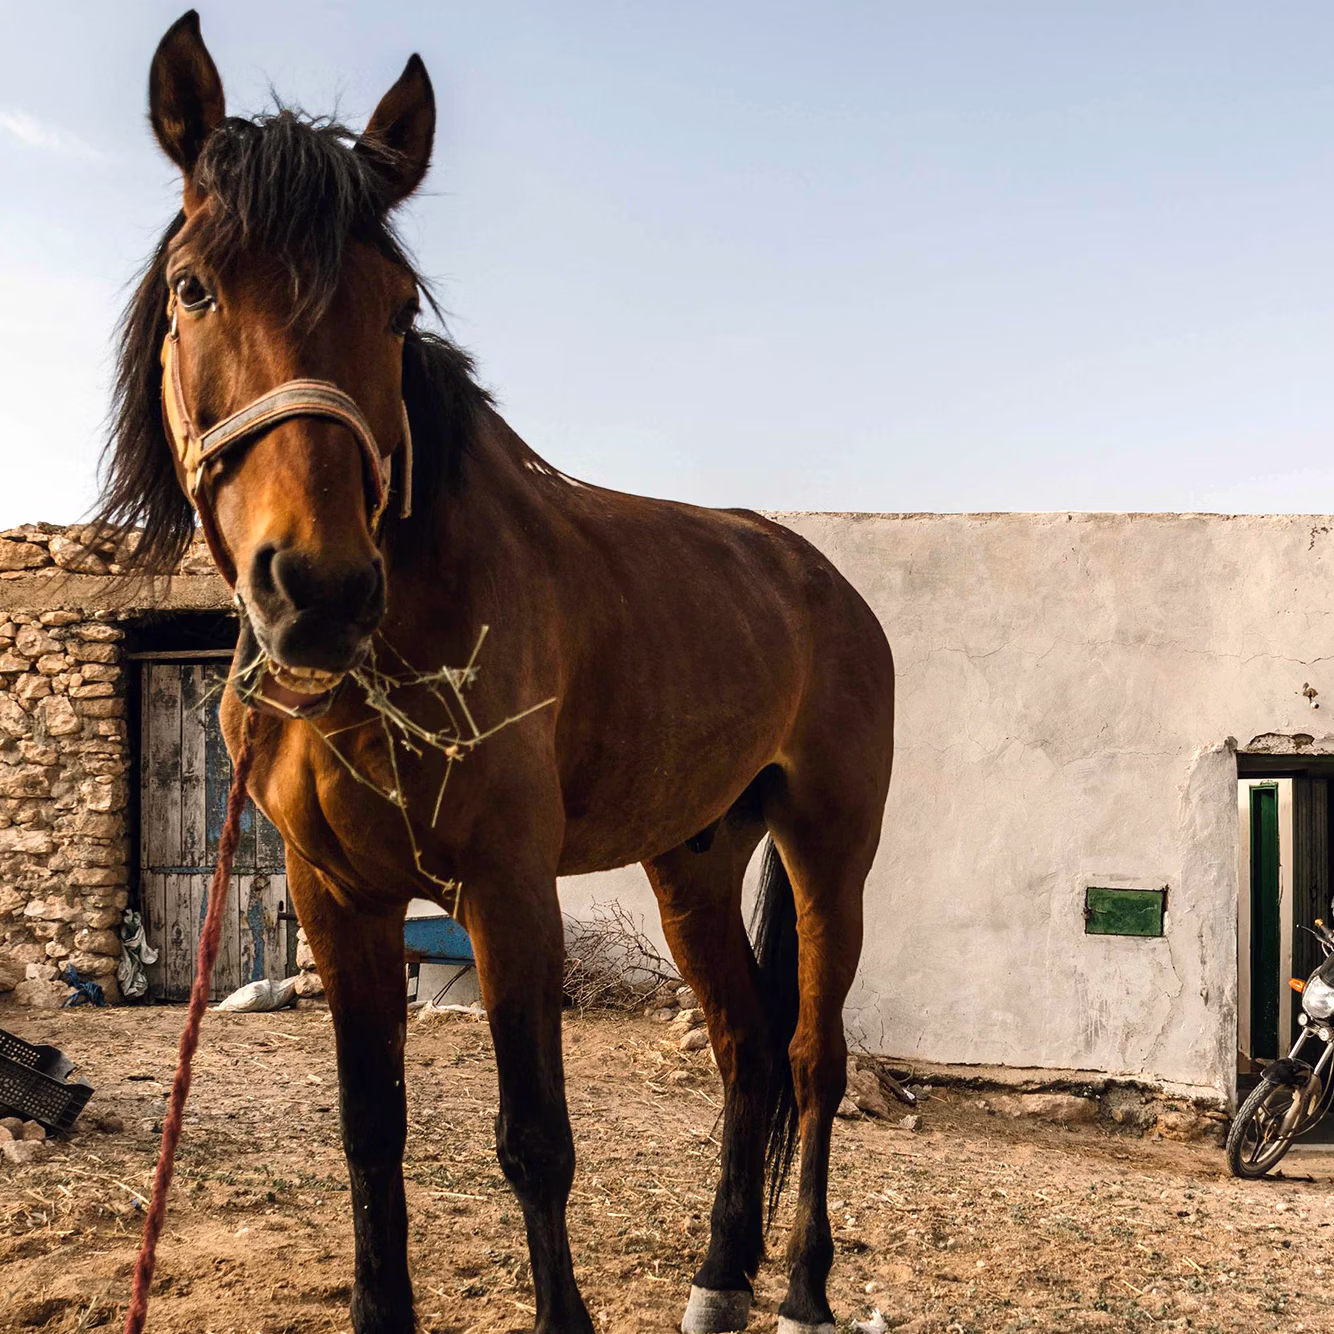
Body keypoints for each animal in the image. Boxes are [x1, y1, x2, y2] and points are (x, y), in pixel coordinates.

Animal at [96, 12, 895, 1333]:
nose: (318, 590)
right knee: (741, 1046)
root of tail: (826, 581)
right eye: (194, 286)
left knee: (807, 1059)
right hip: (692, 858)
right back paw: (717, 1277)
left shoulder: (511, 892)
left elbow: (535, 1142)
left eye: (393, 306)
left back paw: (799, 1285)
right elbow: (369, 1134)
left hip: (827, 848)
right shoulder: (336, 898)